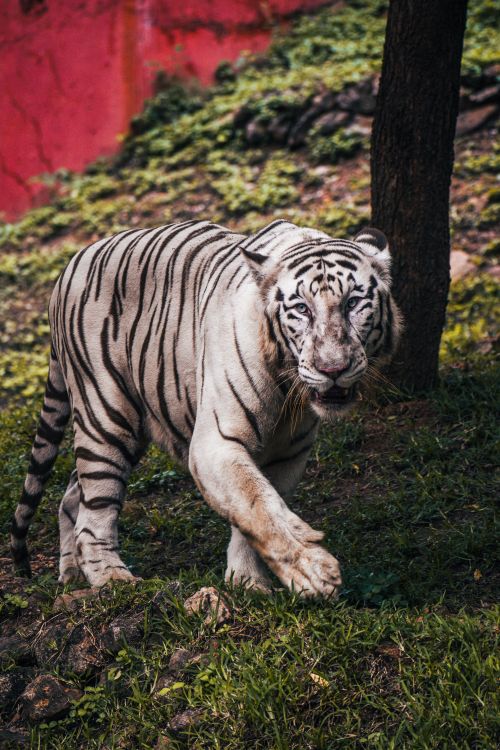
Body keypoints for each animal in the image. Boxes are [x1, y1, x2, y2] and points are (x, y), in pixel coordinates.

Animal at [11, 220, 401, 597]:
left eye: (352, 303)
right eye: (302, 309)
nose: (332, 369)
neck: (288, 389)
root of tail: (71, 265)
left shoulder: (287, 454)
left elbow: (256, 511)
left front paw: (248, 583)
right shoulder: (216, 443)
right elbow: (259, 508)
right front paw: (313, 573)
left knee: (73, 494)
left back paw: (72, 576)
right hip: (107, 414)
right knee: (95, 512)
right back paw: (112, 579)